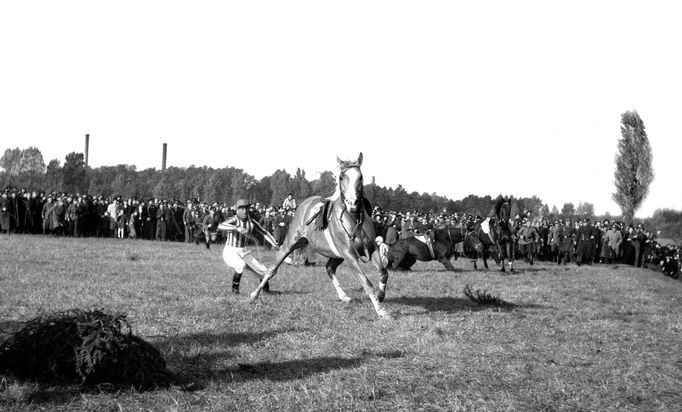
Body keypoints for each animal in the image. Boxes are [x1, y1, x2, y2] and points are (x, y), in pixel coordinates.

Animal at [250, 154, 390, 318]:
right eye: (342, 177)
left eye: (360, 177)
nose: (353, 203)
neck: (354, 219)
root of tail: (304, 204)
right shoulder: (349, 254)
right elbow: (366, 282)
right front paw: (381, 311)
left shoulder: (371, 248)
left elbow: (383, 273)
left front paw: (380, 296)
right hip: (291, 243)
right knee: (272, 269)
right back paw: (254, 295)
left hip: (336, 255)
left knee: (329, 268)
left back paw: (344, 296)